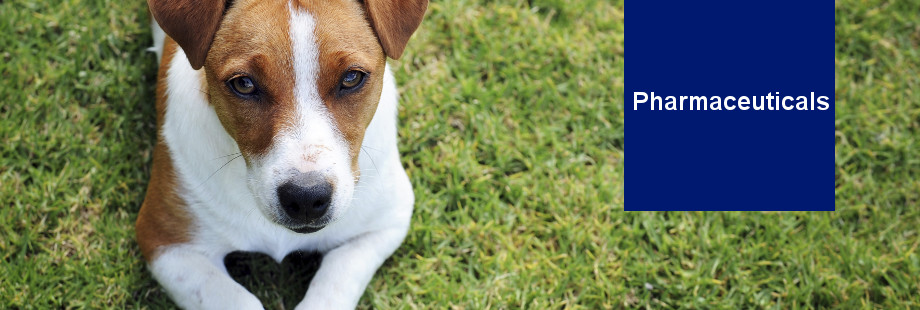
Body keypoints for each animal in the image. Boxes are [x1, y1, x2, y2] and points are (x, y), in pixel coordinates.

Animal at [136, 0, 428, 308]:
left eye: (351, 78)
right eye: (244, 84)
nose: (306, 198)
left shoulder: (386, 222)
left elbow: (332, 287)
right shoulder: (167, 242)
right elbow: (240, 300)